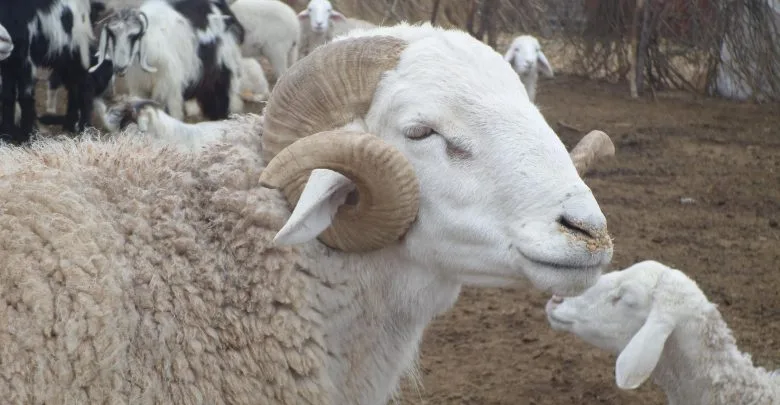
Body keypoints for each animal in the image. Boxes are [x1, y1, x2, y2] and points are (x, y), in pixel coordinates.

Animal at [89, 0, 245, 121]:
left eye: (133, 36)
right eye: (111, 36)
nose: (119, 68)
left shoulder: (168, 86)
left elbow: (170, 111)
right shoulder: (140, 86)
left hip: (222, 68)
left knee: (222, 96)